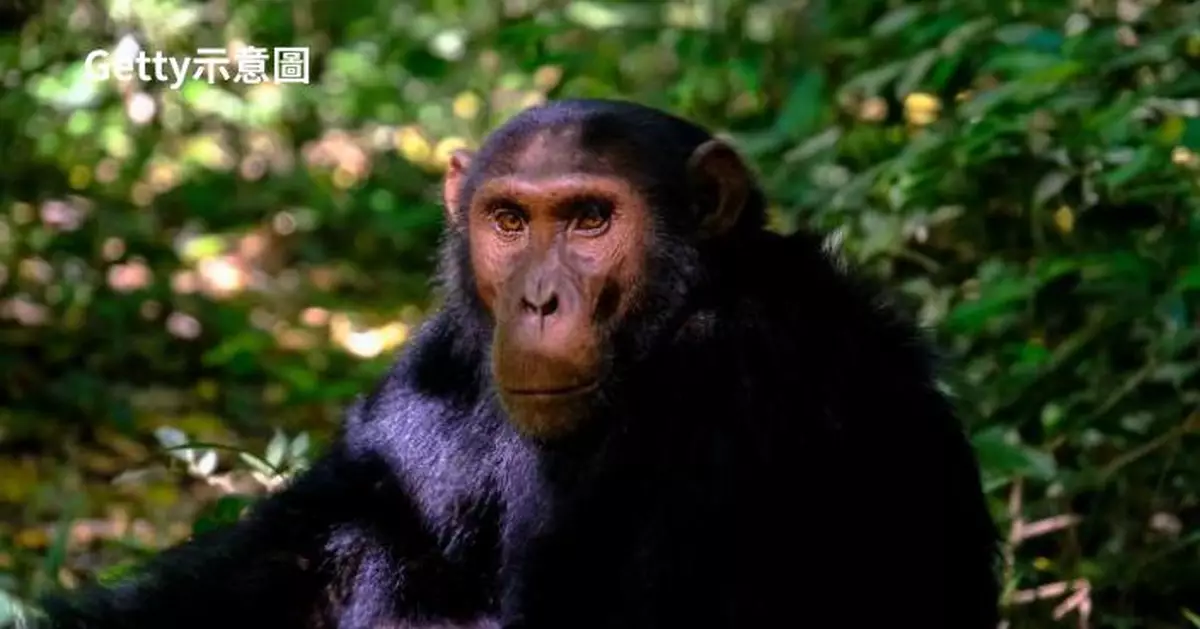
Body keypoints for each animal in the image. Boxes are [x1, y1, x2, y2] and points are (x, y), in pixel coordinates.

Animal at [30, 99, 1003, 629]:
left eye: (588, 219)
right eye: (508, 220)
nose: (537, 299)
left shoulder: (740, 382)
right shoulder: (440, 361)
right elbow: (293, 553)